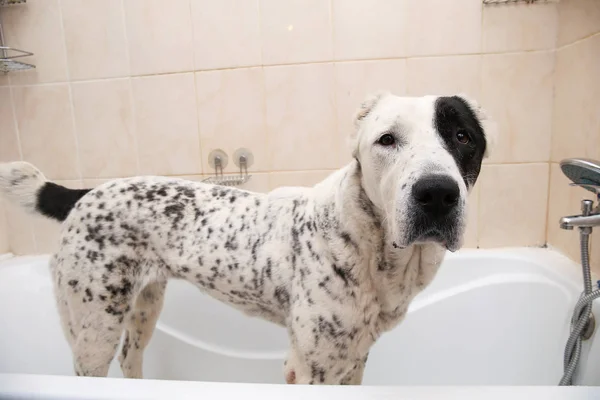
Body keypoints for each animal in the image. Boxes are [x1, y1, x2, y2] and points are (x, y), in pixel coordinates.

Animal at [0, 91, 494, 384]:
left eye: (462, 136)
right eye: (387, 140)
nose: (437, 193)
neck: (369, 244)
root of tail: (87, 193)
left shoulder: (354, 359)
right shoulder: (310, 365)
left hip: (143, 308)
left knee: (130, 359)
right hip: (94, 326)